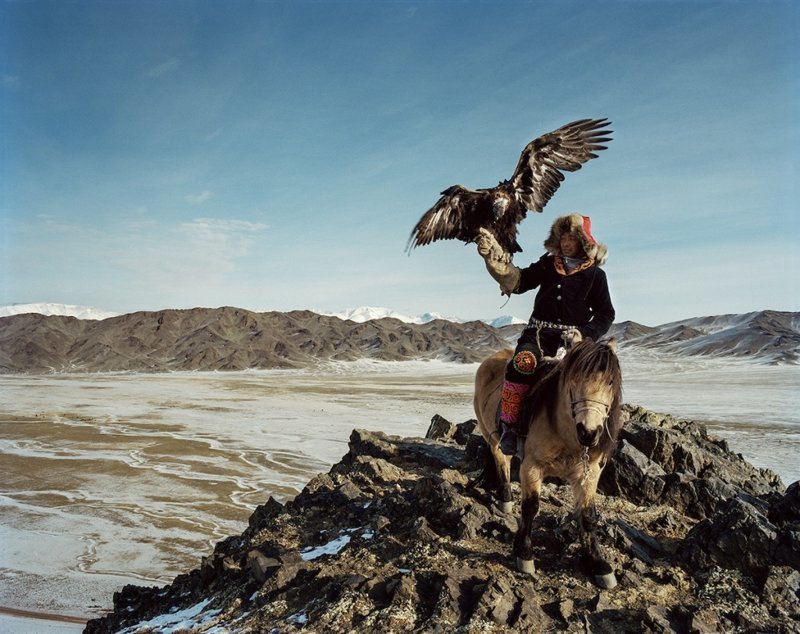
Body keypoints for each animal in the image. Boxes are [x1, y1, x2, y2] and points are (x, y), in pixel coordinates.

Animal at [476, 336, 624, 588]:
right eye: (573, 378)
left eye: (611, 382)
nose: (588, 433)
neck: (566, 435)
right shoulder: (532, 466)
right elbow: (531, 507)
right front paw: (524, 553)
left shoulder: (588, 474)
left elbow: (588, 516)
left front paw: (597, 564)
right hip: (490, 433)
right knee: (501, 459)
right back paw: (505, 497)